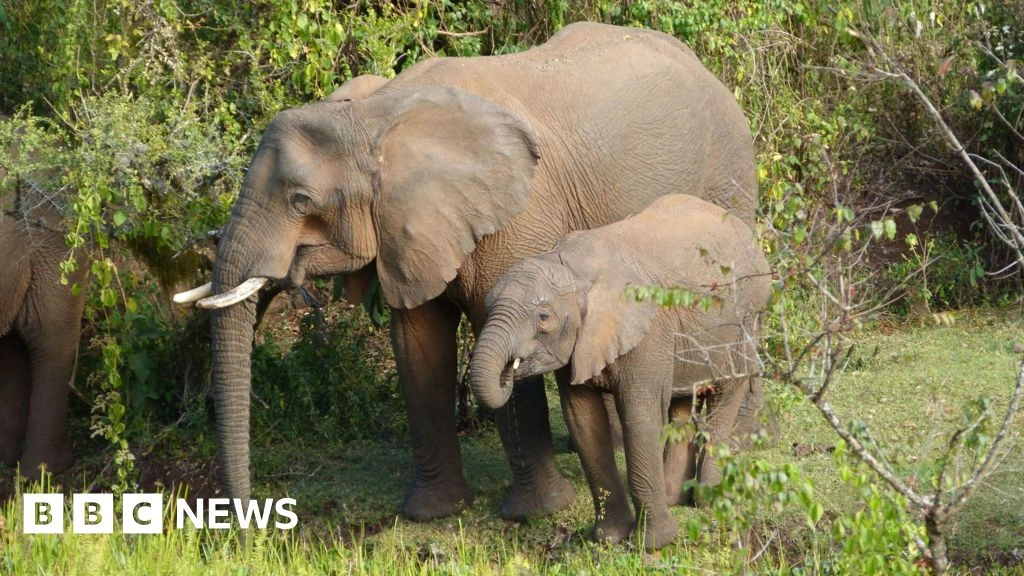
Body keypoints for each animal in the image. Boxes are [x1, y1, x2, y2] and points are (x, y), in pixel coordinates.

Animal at [174, 21, 759, 522]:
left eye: (300, 200)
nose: (245, 527)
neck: (377, 115)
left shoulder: (519, 215)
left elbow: (496, 332)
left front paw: (533, 513)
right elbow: (417, 344)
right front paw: (432, 513)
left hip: (730, 175)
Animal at [469, 194, 772, 549]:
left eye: (543, 317)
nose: (509, 369)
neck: (572, 267)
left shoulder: (647, 332)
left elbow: (640, 417)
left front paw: (654, 544)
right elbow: (584, 422)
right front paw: (608, 538)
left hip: (744, 318)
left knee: (724, 396)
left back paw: (708, 500)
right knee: (681, 402)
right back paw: (674, 499)